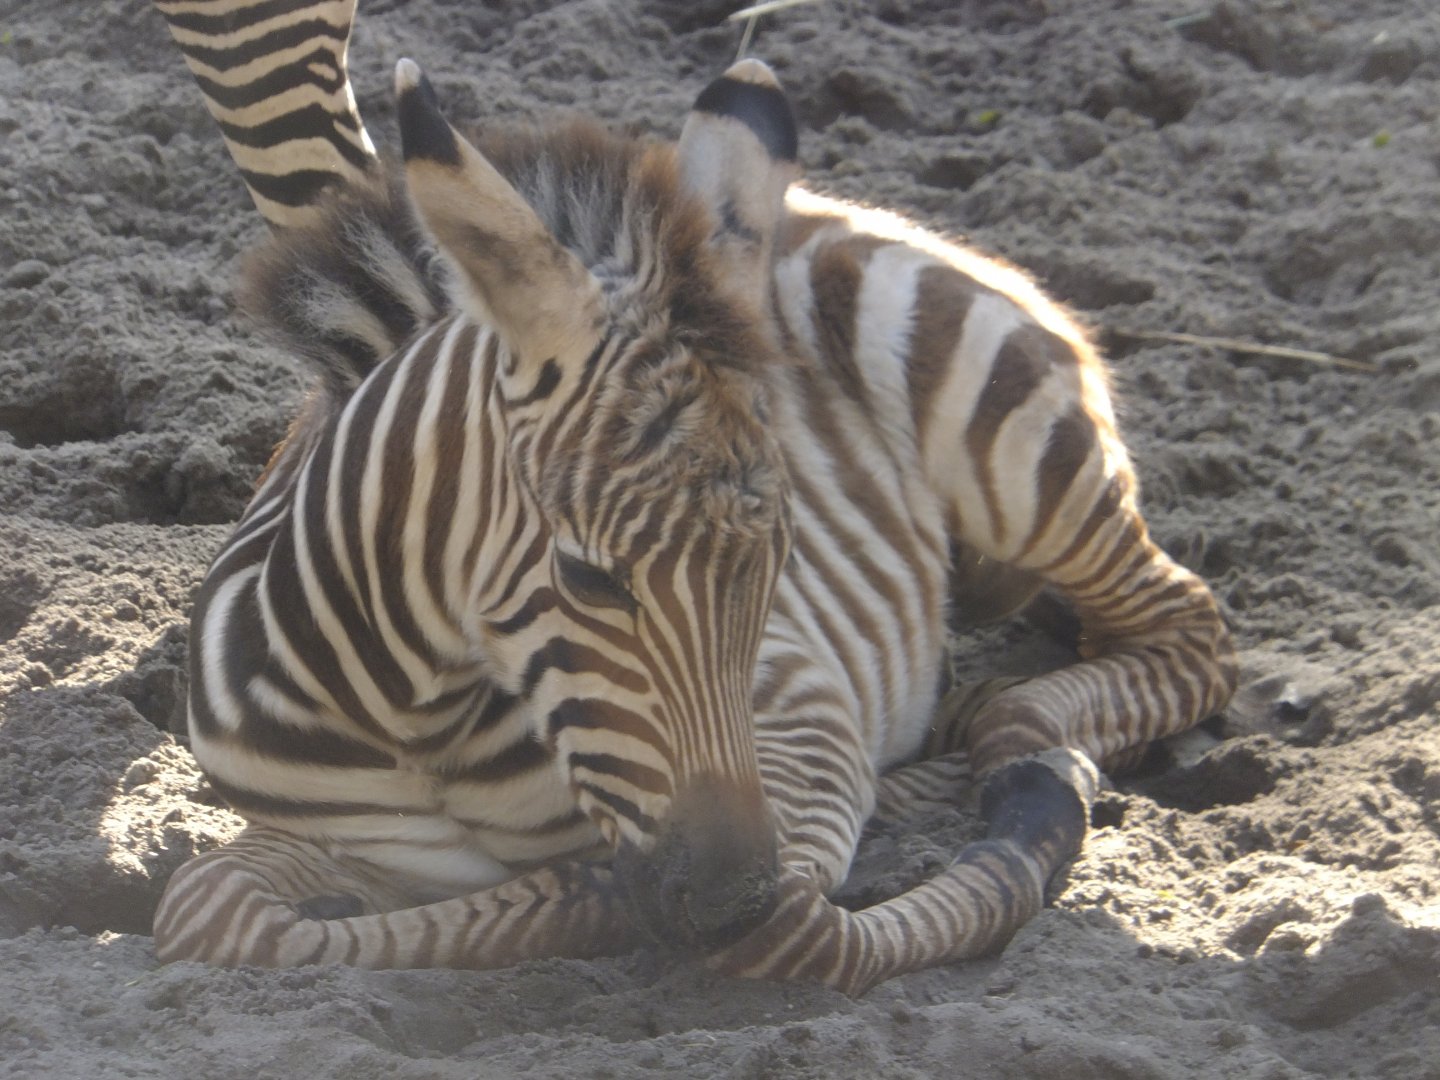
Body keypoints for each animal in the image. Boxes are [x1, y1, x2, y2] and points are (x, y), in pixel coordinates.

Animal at [148, 3, 1237, 994]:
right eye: (589, 578)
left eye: (779, 564)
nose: (727, 900)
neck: (412, 714)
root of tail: (833, 210)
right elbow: (211, 909)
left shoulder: (799, 713)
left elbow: (781, 928)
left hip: (1017, 460)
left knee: (1183, 631)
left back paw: (1020, 741)